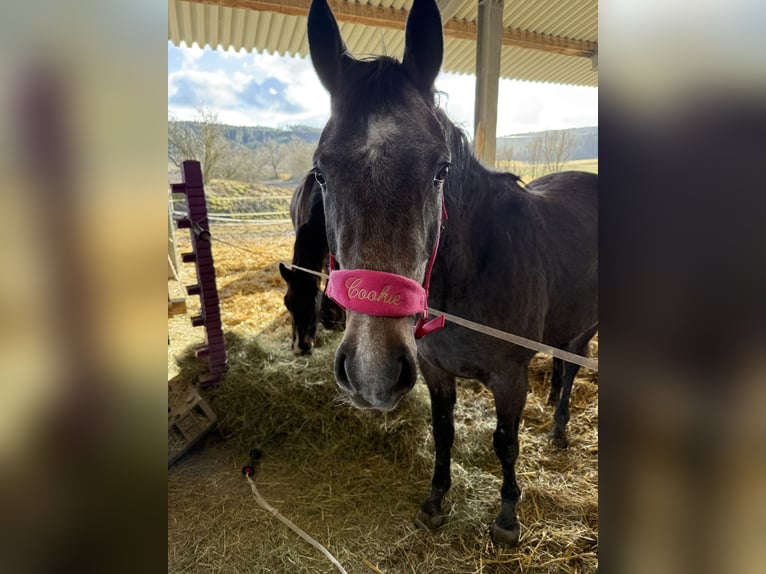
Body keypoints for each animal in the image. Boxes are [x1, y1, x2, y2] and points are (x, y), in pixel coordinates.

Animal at [307, 0, 597, 547]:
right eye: (320, 173)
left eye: (441, 170)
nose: (372, 373)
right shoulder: (434, 371)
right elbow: (443, 433)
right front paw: (435, 500)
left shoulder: (509, 379)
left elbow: (506, 443)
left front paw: (507, 516)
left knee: (572, 367)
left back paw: (559, 428)